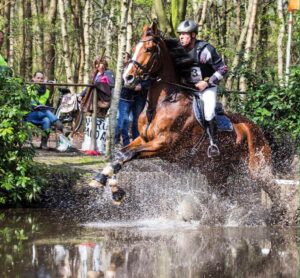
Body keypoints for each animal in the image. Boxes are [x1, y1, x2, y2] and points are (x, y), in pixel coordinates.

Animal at [90, 21, 288, 224]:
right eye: (134, 48)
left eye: (149, 49)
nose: (127, 78)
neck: (163, 102)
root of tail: (256, 129)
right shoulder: (143, 139)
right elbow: (121, 154)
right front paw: (105, 182)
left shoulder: (164, 145)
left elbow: (128, 154)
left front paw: (113, 188)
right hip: (216, 172)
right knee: (225, 195)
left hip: (258, 168)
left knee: (275, 190)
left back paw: (280, 216)